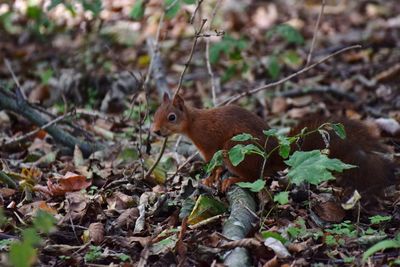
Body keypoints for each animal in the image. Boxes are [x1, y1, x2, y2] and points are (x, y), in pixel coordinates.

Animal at [151, 93, 396, 197]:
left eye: (171, 117)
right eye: (155, 113)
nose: (155, 131)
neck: (193, 123)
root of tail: (274, 157)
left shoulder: (210, 146)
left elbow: (214, 164)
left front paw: (210, 178)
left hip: (236, 150)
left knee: (254, 177)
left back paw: (232, 179)